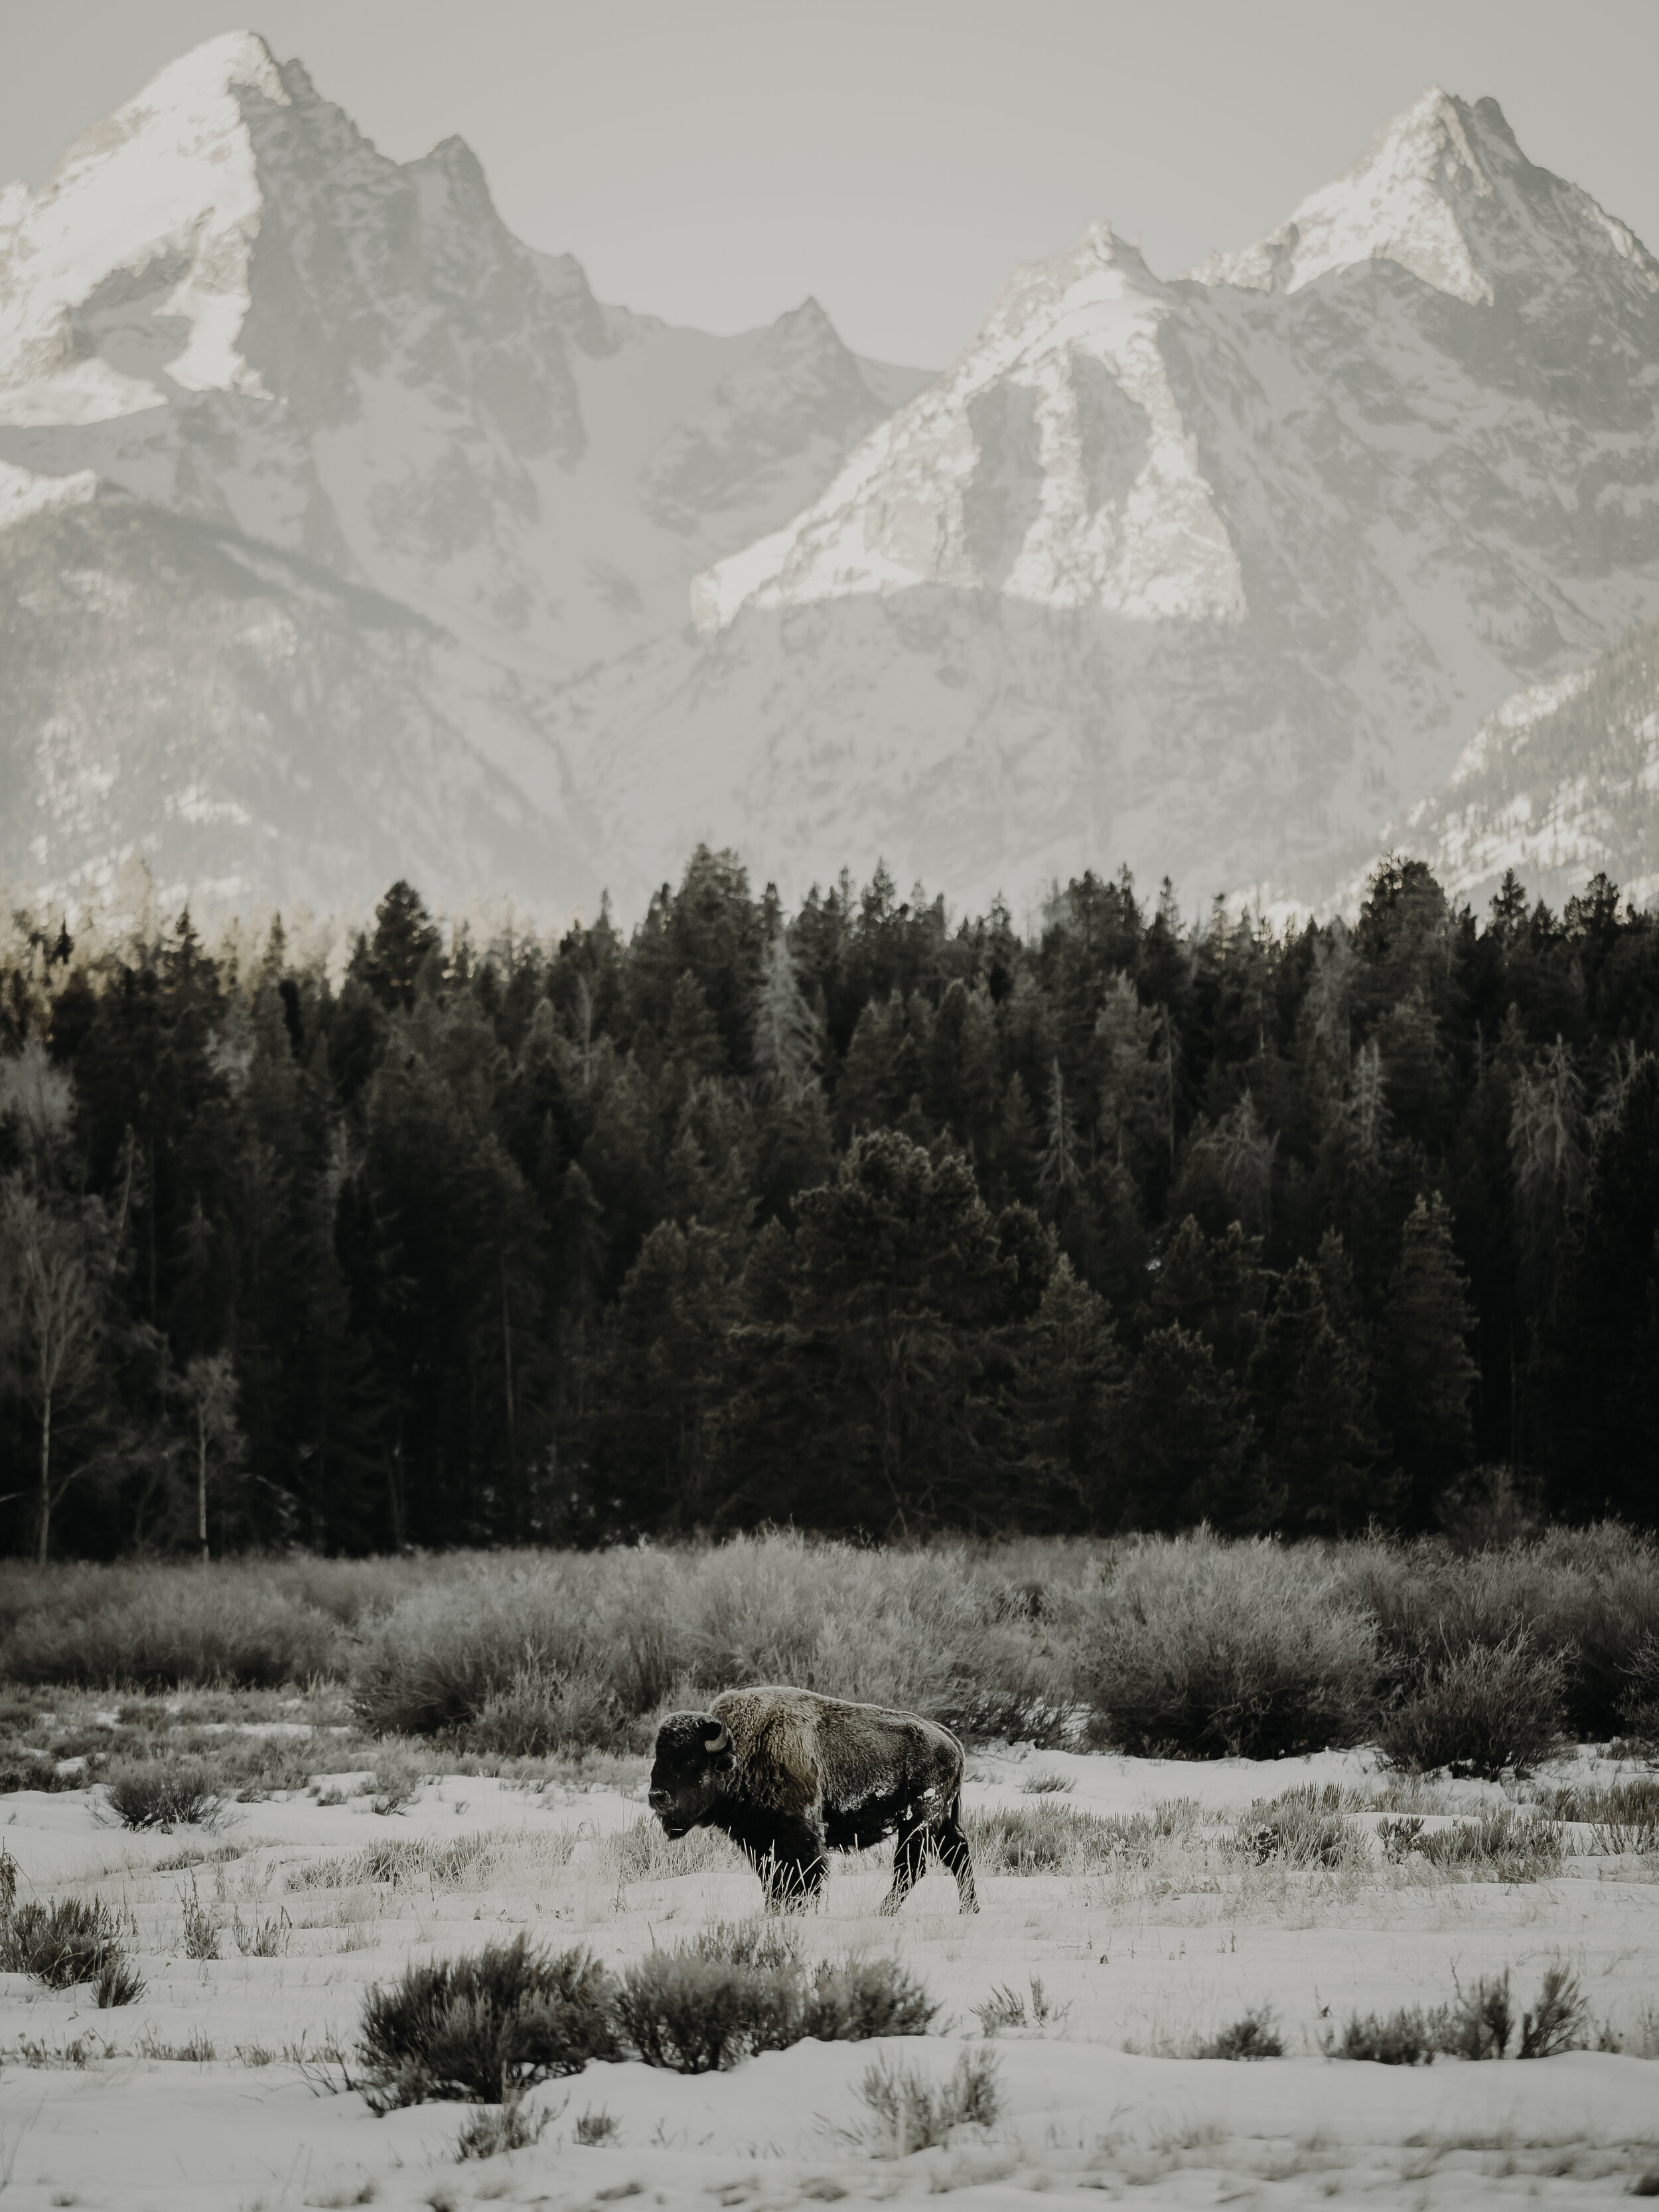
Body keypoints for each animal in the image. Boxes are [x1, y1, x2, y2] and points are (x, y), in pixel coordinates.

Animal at [648, 1685, 979, 1914]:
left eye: (691, 1760)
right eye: (659, 1757)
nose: (656, 1796)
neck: (744, 1750)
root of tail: (948, 1738)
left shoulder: (799, 1835)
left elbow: (802, 1877)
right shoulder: (759, 1841)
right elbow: (772, 1880)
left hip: (918, 1822)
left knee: (911, 1868)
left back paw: (882, 1913)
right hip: (940, 1822)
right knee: (957, 1854)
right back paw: (968, 1909)